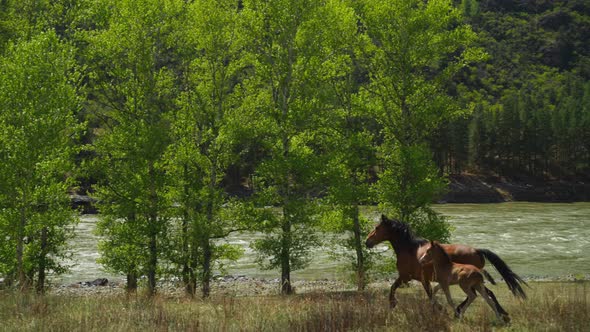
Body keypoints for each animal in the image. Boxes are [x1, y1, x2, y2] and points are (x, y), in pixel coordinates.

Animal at [366, 215, 528, 308]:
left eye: (377, 227)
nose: (367, 241)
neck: (410, 249)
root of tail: (477, 250)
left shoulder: (410, 278)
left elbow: (395, 288)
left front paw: (393, 304)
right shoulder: (408, 278)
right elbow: (394, 288)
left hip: (470, 281)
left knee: (481, 294)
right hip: (475, 281)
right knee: (487, 294)